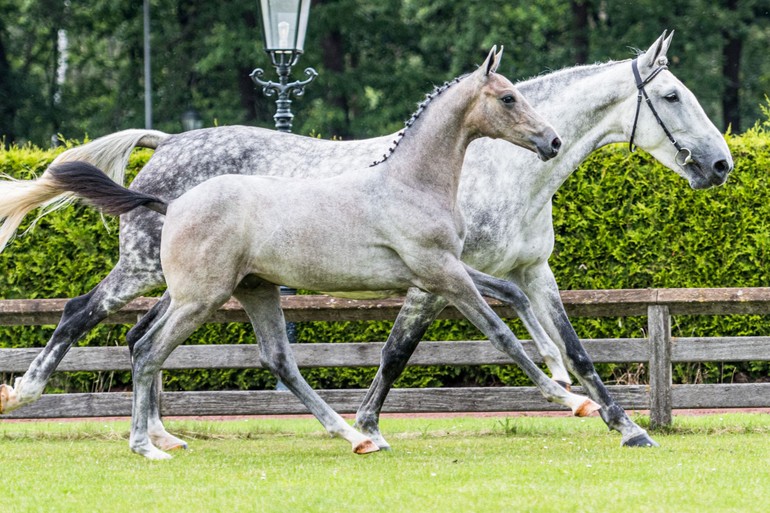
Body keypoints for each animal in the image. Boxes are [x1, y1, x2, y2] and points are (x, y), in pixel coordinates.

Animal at [0, 32, 728, 448]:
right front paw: (372, 422)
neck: (496, 169)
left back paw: (163, 431)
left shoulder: (529, 270)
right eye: (671, 95)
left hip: (210, 284)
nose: (721, 164)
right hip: (148, 267)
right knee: (85, 315)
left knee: (143, 337)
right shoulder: (443, 276)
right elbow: (419, 346)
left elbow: (572, 344)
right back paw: (32, 395)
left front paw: (622, 422)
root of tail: (168, 142)